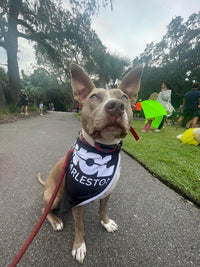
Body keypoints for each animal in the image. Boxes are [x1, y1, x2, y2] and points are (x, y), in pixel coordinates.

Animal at [37, 63, 143, 264]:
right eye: (94, 97)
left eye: (124, 97)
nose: (116, 106)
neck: (102, 150)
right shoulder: (75, 201)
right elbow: (79, 226)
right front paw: (79, 245)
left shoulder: (108, 191)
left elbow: (103, 209)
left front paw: (106, 222)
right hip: (56, 195)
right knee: (44, 210)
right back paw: (56, 220)